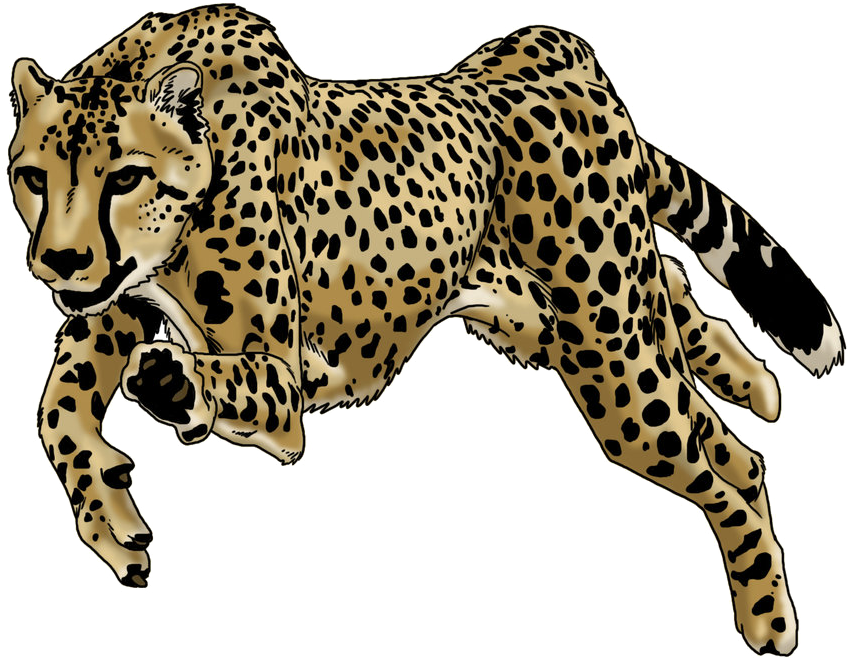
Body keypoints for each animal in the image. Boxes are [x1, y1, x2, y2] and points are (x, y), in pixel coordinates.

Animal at [9, 4, 844, 654]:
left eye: (126, 175)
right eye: (32, 178)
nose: (60, 260)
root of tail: (557, 53)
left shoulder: (282, 380)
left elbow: (223, 375)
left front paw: (169, 385)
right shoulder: (111, 304)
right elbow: (56, 410)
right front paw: (112, 520)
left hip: (615, 368)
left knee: (723, 471)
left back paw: (769, 621)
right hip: (569, 332)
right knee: (712, 399)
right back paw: (751, 382)